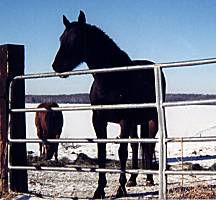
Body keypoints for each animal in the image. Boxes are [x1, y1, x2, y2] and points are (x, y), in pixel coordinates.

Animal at [52, 11, 165, 198]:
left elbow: (122, 153)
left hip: (151, 120)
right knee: (137, 146)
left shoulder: (124, 120)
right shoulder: (99, 120)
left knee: (148, 146)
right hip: (136, 123)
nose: (57, 66)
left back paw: (148, 179)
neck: (111, 78)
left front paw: (120, 188)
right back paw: (133, 180)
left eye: (77, 38)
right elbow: (102, 152)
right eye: (61, 39)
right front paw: (99, 190)